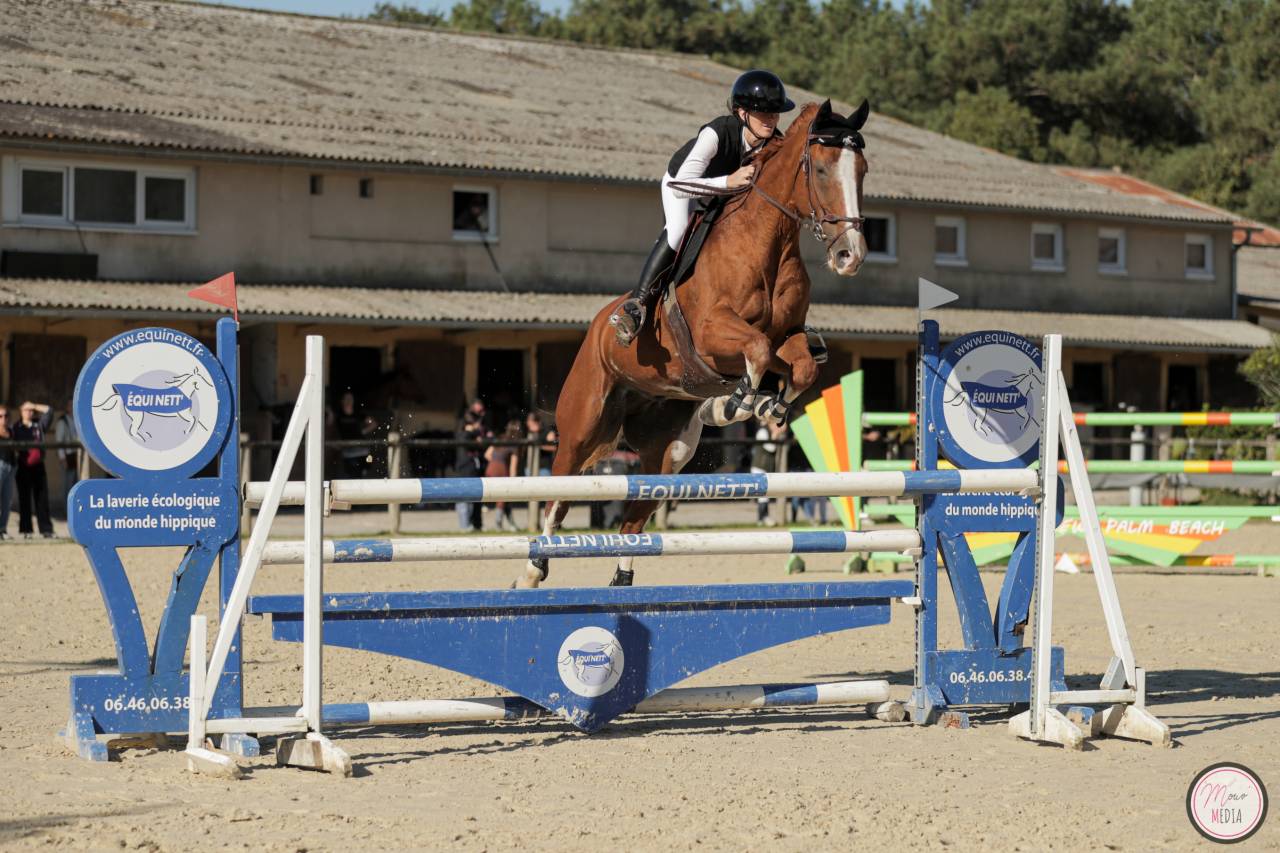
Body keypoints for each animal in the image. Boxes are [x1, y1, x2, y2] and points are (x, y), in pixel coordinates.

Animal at [515, 100, 871, 589]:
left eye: (863, 171)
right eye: (819, 169)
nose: (850, 257)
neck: (767, 243)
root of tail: (597, 325)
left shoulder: (790, 338)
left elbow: (800, 365)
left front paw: (765, 405)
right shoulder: (710, 336)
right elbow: (756, 348)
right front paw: (737, 404)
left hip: (668, 452)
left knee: (634, 516)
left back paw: (621, 582)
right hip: (582, 426)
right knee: (558, 496)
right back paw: (533, 570)